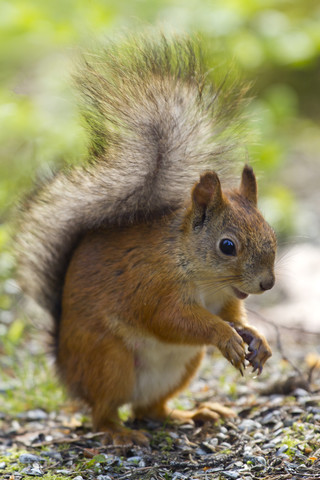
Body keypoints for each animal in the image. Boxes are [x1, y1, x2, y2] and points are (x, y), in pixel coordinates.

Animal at [16, 33, 276, 446]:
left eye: (270, 232)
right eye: (227, 246)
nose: (267, 283)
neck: (193, 266)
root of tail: (67, 370)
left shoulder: (224, 299)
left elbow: (234, 315)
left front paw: (256, 338)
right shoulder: (152, 286)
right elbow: (172, 320)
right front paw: (225, 336)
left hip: (183, 366)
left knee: (151, 409)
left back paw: (195, 413)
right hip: (110, 360)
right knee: (103, 412)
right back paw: (120, 434)